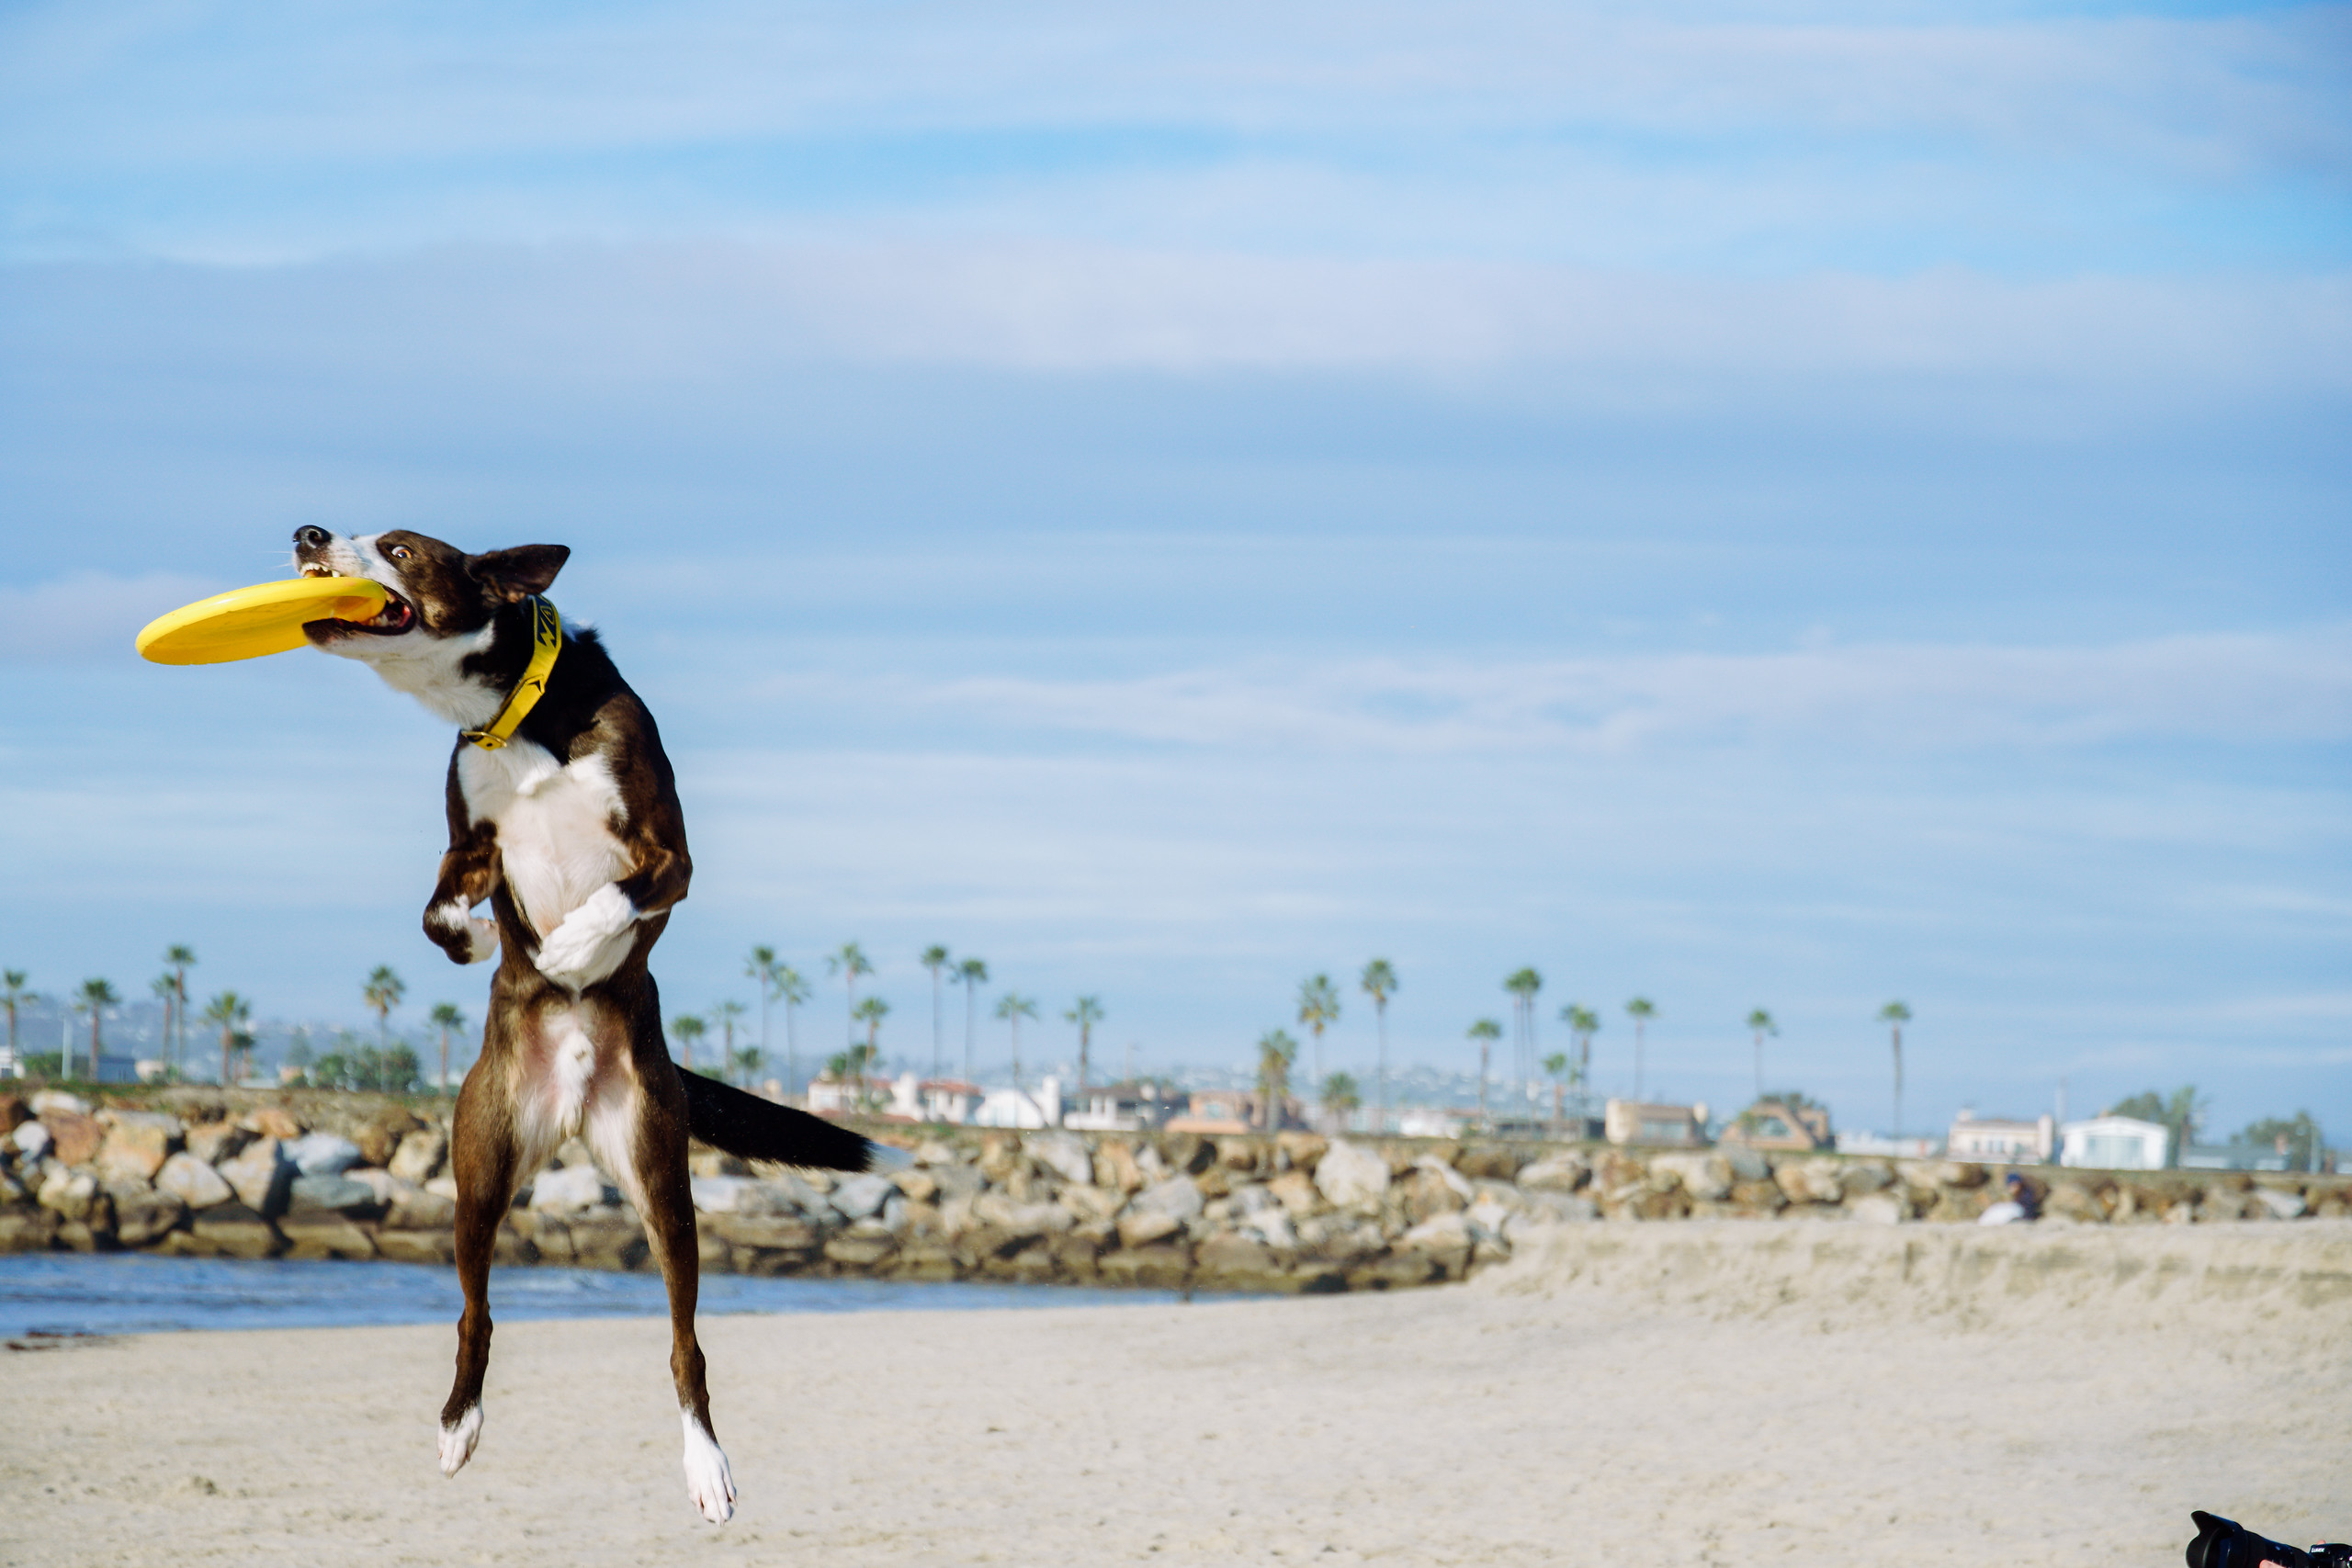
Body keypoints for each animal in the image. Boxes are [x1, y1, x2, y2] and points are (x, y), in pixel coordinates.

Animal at [284, 524, 888, 1523]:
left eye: (400, 547)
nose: (309, 534)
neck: (516, 720)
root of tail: (568, 1111)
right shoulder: (468, 843)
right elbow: (435, 913)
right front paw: (489, 939)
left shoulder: (669, 855)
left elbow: (619, 894)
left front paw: (569, 948)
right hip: (480, 1173)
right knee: (476, 1312)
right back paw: (459, 1423)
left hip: (662, 1179)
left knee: (686, 1345)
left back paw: (706, 1466)